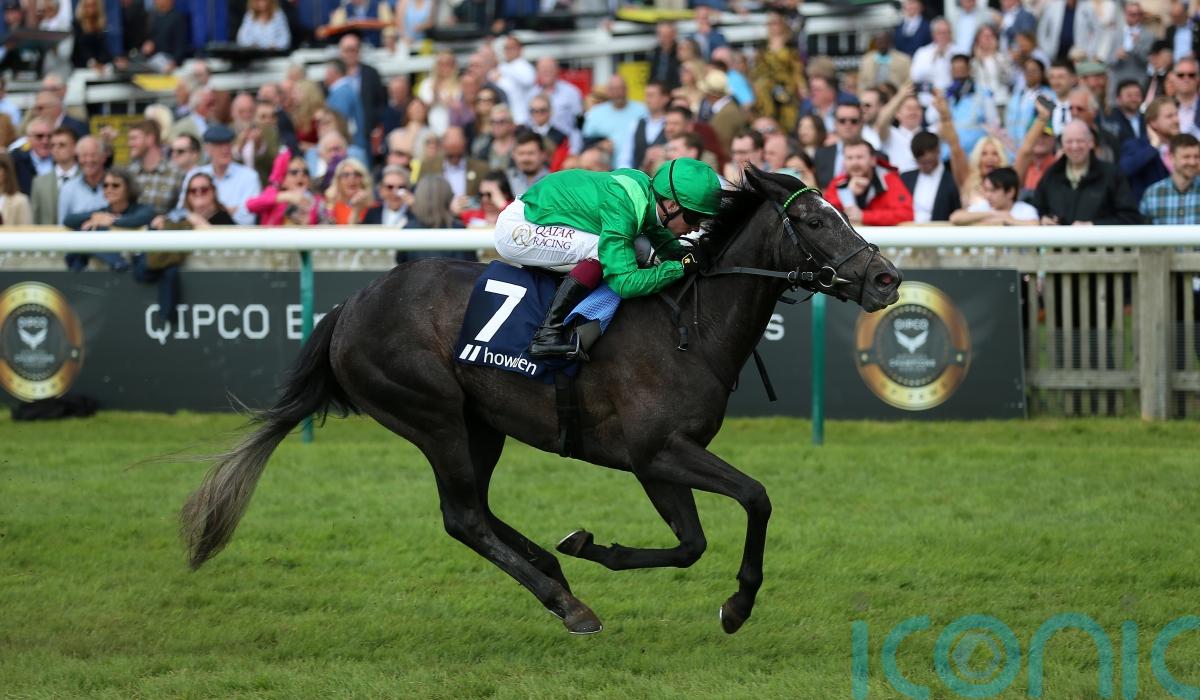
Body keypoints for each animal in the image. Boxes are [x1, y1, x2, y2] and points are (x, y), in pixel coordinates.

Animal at [180, 167, 902, 635]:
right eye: (815, 219)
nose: (886, 278)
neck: (688, 327)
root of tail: (348, 307)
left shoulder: (657, 461)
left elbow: (691, 543)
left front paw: (593, 546)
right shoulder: (657, 451)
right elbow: (756, 497)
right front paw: (738, 606)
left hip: (480, 424)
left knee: (475, 509)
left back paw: (553, 567)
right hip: (432, 414)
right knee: (463, 517)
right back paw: (566, 603)